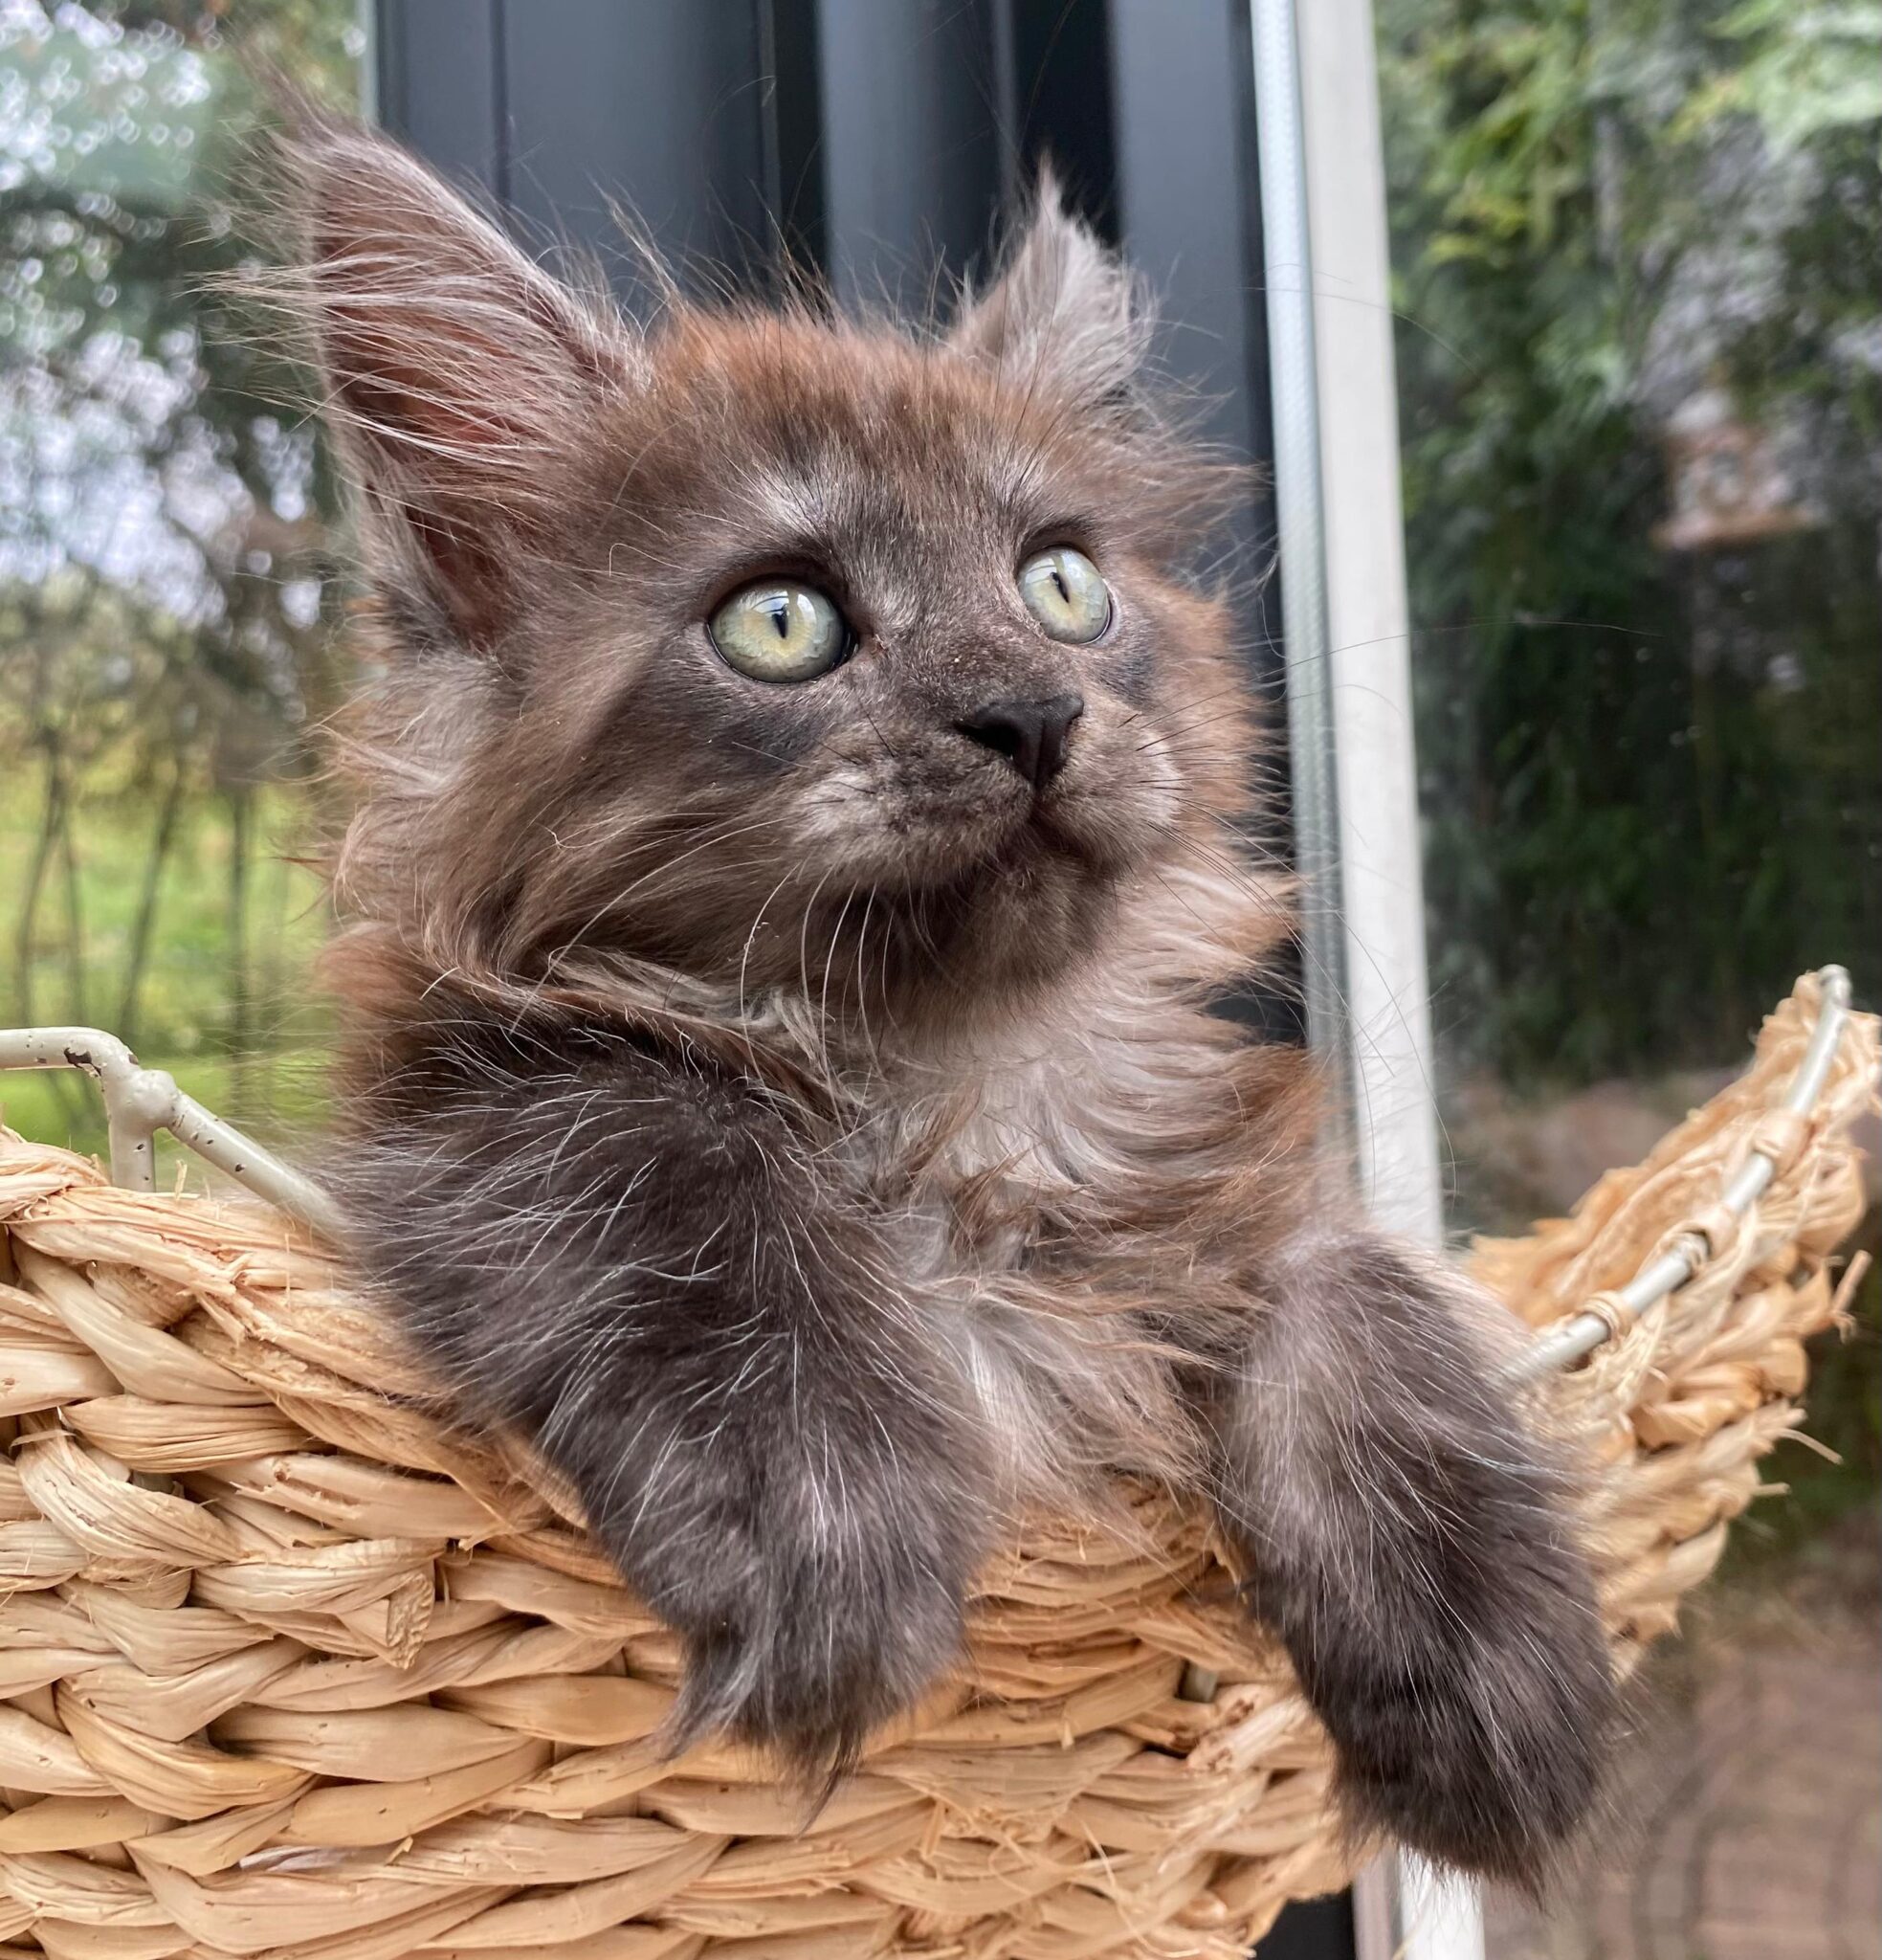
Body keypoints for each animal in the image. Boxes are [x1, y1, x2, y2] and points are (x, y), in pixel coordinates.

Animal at [286, 111, 1607, 1882]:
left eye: (1060, 587)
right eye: (780, 621)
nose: (1033, 714)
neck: (953, 1088)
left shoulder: (1218, 1189)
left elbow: (1357, 1286)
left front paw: (1489, 1646)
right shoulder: (463, 1102)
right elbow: (660, 1146)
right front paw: (820, 1498)